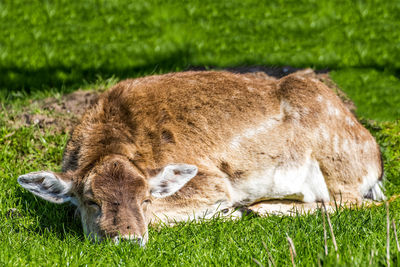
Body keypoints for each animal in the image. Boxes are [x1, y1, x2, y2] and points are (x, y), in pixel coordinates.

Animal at [18, 70, 384, 247]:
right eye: (91, 200)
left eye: (146, 199)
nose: (128, 239)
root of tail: (374, 154)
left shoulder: (214, 180)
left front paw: (230, 212)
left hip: (339, 165)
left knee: (359, 202)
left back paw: (259, 208)